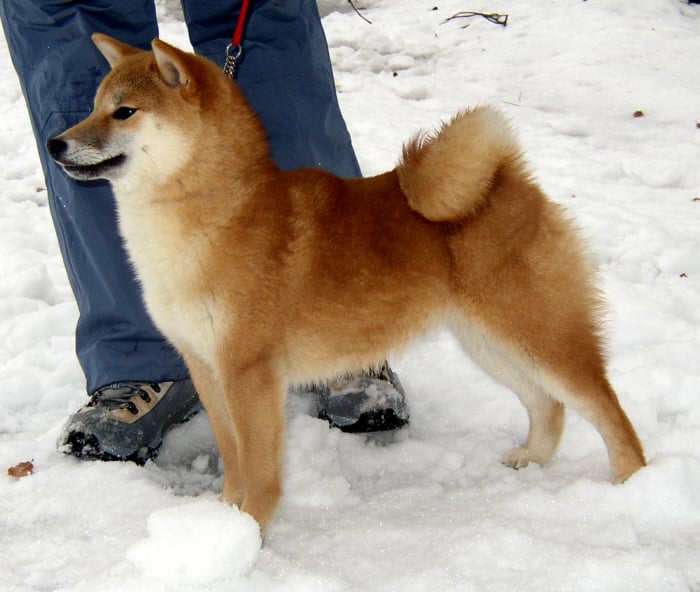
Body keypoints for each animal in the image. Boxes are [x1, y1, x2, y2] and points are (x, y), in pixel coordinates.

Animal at [48, 34, 645, 532]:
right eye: (92, 107)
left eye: (125, 112)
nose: (55, 144)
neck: (217, 211)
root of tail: (510, 179)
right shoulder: (205, 365)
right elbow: (233, 455)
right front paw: (222, 520)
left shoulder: (248, 372)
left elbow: (259, 467)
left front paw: (250, 532)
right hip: (489, 342)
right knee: (548, 406)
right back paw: (533, 459)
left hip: (537, 333)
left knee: (604, 406)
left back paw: (632, 486)